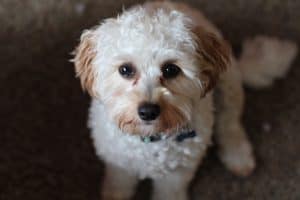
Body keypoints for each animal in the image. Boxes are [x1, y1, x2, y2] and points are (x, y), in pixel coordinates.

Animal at [72, 0, 298, 199]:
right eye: (125, 69)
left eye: (171, 69)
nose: (148, 111)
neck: (151, 139)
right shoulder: (118, 161)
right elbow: (120, 181)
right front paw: (114, 193)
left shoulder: (178, 172)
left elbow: (169, 193)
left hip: (229, 86)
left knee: (229, 124)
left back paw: (239, 156)